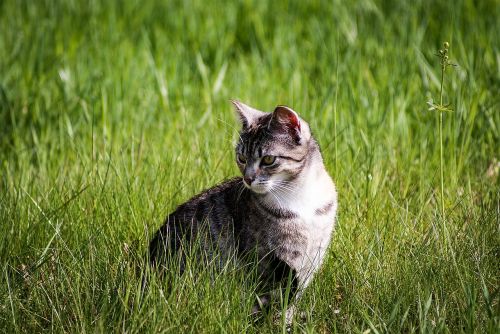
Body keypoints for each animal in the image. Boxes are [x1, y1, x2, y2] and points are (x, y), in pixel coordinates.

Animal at [146, 100, 338, 324]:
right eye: (242, 158)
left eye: (268, 159)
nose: (248, 178)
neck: (301, 196)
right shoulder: (266, 260)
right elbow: (277, 298)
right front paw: (280, 324)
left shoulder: (312, 259)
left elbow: (291, 300)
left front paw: (288, 321)